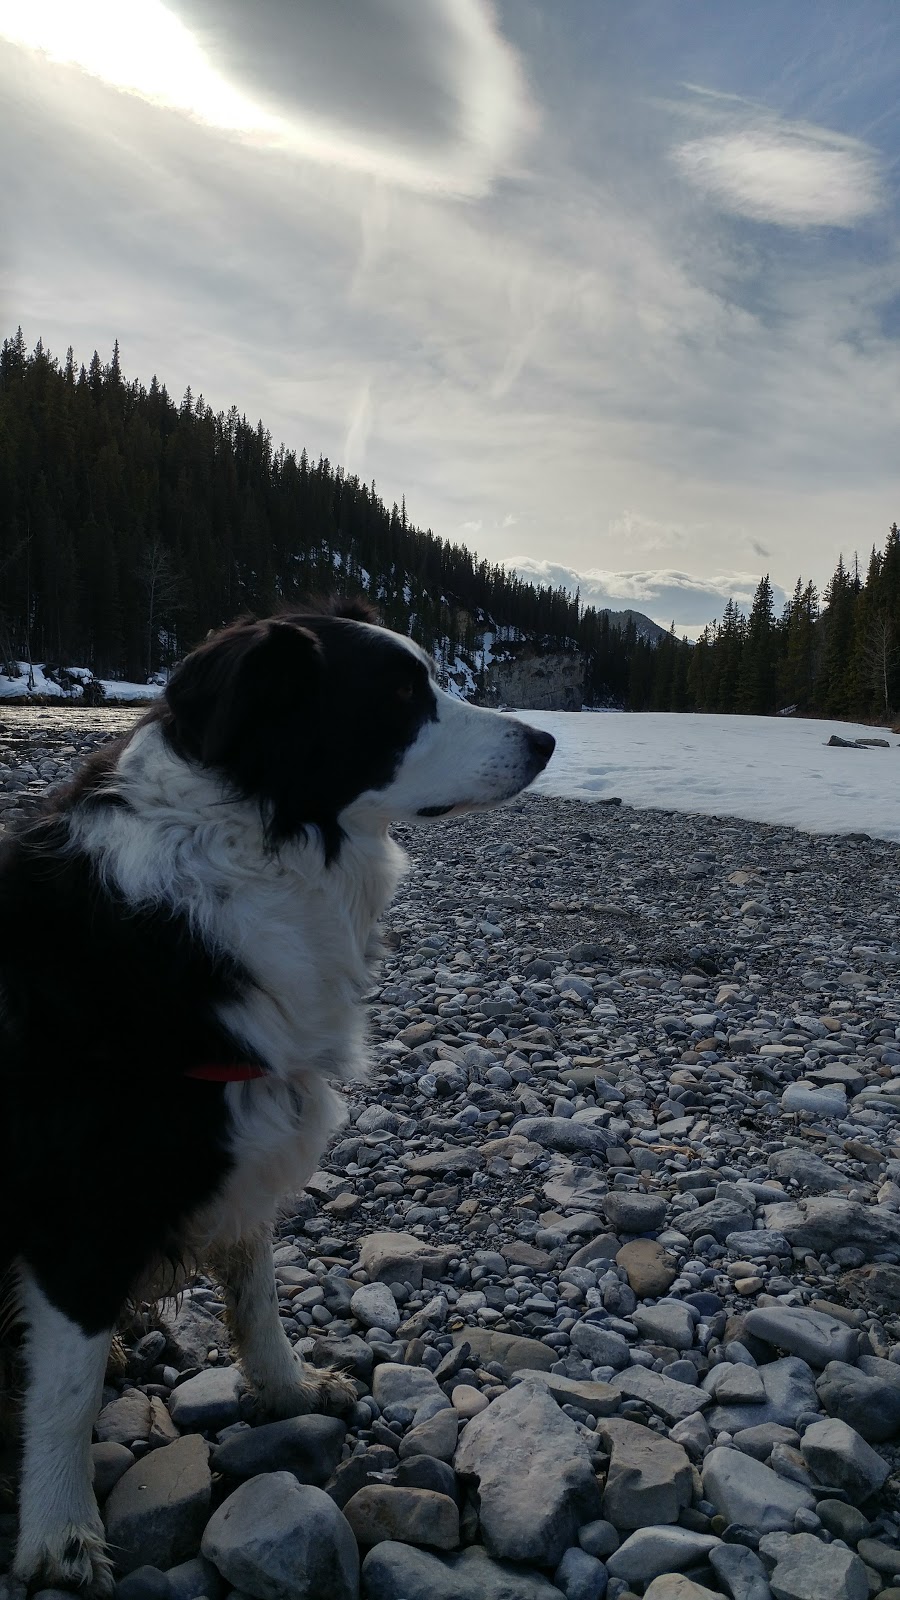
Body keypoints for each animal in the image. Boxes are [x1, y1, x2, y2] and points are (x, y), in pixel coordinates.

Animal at [0, 601, 550, 1600]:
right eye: (401, 695)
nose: (547, 738)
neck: (251, 850)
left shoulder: (251, 1126)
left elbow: (255, 1291)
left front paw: (289, 1394)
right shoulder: (80, 1209)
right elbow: (64, 1391)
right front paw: (58, 1533)